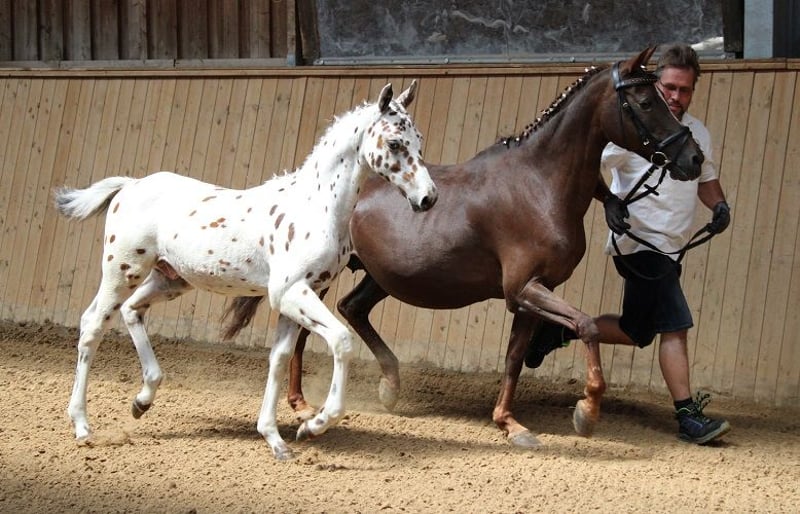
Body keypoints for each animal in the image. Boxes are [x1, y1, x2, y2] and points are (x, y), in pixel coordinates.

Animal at [53, 81, 438, 461]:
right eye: (394, 142)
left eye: (419, 140)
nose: (428, 198)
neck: (315, 207)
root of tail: (130, 185)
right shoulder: (291, 292)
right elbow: (341, 341)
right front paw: (313, 425)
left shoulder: (298, 296)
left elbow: (279, 358)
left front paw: (276, 440)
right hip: (123, 271)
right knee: (93, 325)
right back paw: (83, 427)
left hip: (170, 279)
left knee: (133, 311)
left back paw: (142, 400)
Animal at [272, 47, 704, 448]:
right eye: (647, 102)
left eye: (667, 95)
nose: (694, 158)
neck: (539, 186)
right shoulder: (524, 288)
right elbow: (586, 326)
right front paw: (587, 411)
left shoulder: (532, 293)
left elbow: (515, 357)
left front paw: (510, 424)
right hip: (322, 277)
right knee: (307, 327)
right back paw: (301, 404)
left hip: (381, 277)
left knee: (352, 309)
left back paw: (389, 386)